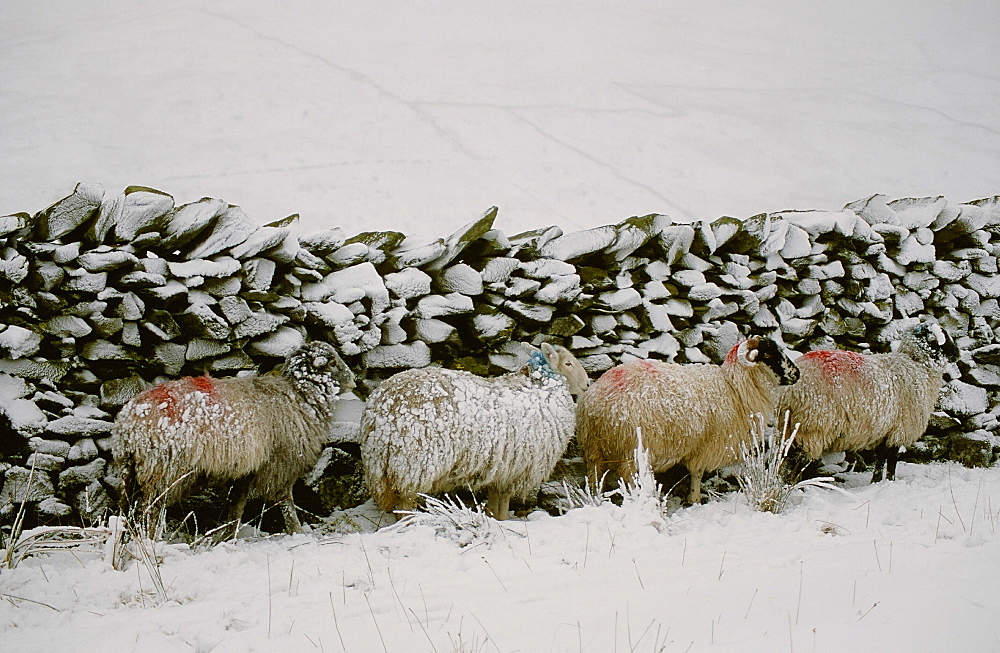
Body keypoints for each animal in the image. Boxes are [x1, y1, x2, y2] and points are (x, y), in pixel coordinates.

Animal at [112, 338, 356, 536]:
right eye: (332, 362)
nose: (353, 380)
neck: (299, 394)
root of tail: (128, 425)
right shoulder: (280, 462)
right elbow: (285, 501)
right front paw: (297, 531)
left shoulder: (247, 469)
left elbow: (236, 505)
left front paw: (226, 535)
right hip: (164, 469)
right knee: (149, 510)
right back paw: (149, 540)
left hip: (132, 473)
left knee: (129, 510)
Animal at [776, 318, 956, 482]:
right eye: (944, 333)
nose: (957, 354)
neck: (918, 365)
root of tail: (789, 390)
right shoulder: (900, 428)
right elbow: (891, 460)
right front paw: (890, 481)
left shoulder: (885, 430)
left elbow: (880, 459)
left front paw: (876, 482)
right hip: (812, 427)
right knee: (797, 460)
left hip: (789, 426)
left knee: (785, 458)